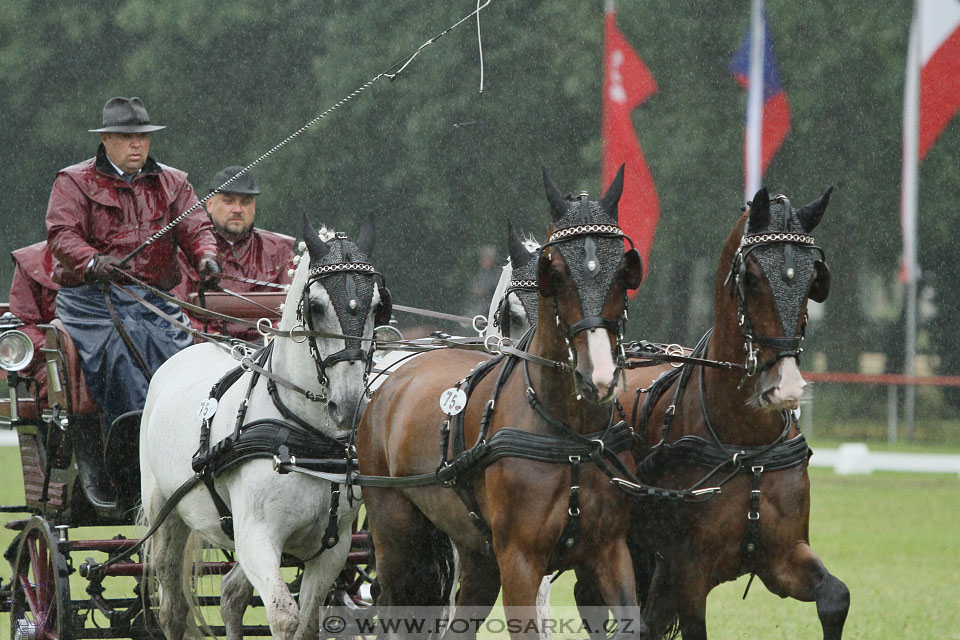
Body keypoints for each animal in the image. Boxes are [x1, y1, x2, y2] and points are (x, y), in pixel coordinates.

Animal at [136, 216, 390, 640]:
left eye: (376, 307)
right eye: (316, 306)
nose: (349, 403)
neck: (305, 437)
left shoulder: (332, 548)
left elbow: (307, 621)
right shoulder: (257, 537)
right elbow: (284, 617)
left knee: (231, 593)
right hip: (166, 515)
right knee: (172, 608)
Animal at [356, 168, 648, 636]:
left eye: (624, 269)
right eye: (555, 271)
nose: (598, 376)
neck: (570, 436)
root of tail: (392, 373)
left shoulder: (609, 550)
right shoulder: (520, 559)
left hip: (477, 553)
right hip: (397, 535)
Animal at [576, 186, 848, 640]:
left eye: (814, 279)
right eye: (750, 277)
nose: (787, 387)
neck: (746, 443)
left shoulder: (781, 555)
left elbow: (835, 597)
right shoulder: (688, 569)